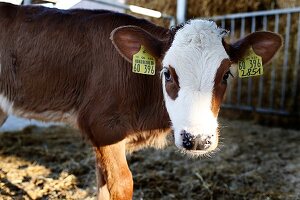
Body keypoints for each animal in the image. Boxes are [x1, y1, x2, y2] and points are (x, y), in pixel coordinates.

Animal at [0, 2, 282, 199]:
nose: (197, 139)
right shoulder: (102, 126)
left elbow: (103, 185)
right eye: (167, 72)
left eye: (226, 74)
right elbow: (121, 183)